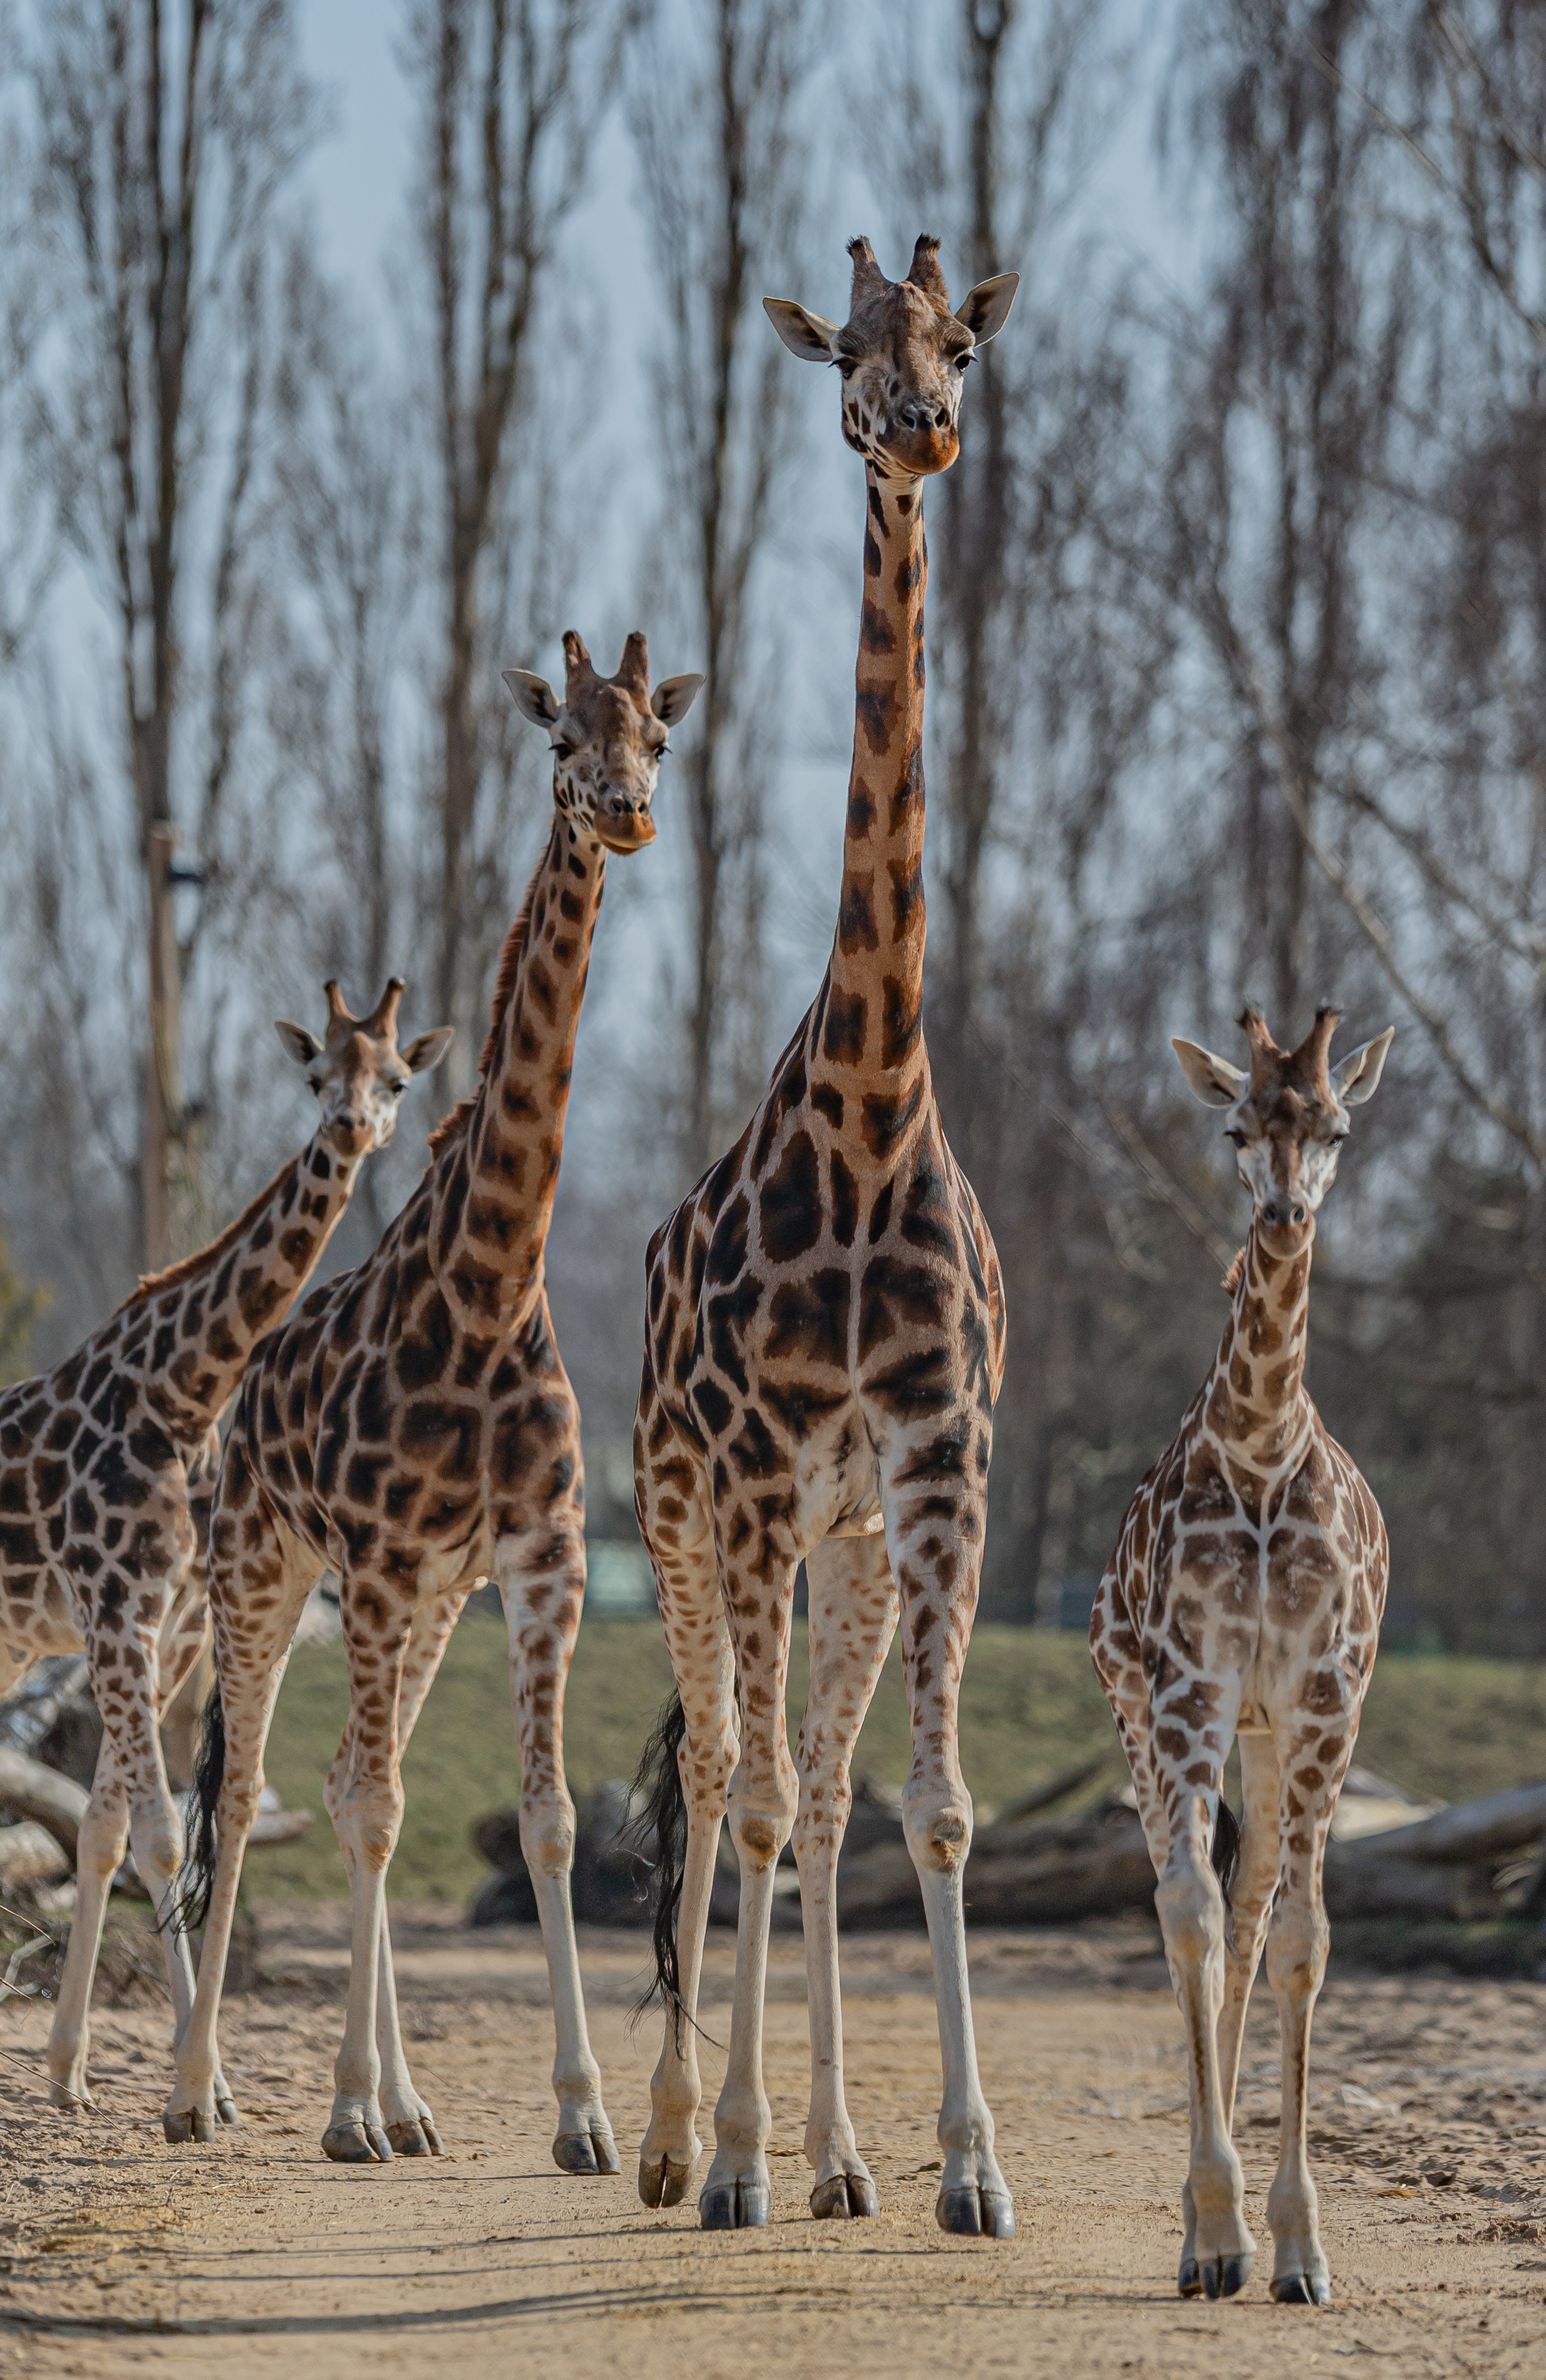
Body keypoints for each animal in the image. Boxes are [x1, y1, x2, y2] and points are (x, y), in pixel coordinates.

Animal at [0, 976, 450, 2113]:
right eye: (316, 1071)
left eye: (396, 1077)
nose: (350, 1128)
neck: (179, 1392)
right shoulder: (118, 1614)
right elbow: (161, 1833)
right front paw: (196, 2087)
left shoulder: (173, 1625)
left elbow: (111, 1827)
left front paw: (79, 2068)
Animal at [162, 630, 704, 2167]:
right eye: (560, 737)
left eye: (657, 734)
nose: (628, 811)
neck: (488, 1285)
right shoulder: (389, 1560)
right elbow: (364, 1811)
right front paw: (343, 2104)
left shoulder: (533, 1559)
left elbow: (545, 1819)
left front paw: (580, 2115)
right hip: (266, 1574)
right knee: (253, 1792)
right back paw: (201, 2088)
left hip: (413, 1607)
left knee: (361, 1777)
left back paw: (403, 2105)